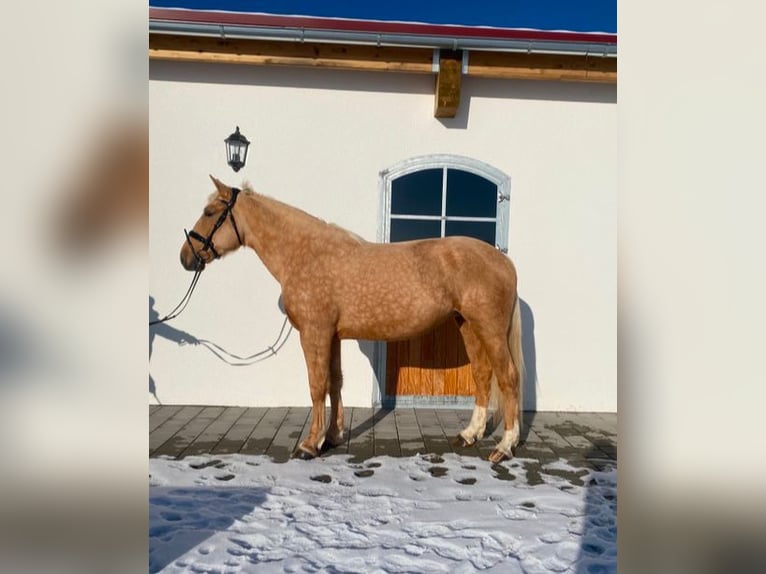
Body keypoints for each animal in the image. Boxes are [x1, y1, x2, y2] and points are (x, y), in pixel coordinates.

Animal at [181, 176, 528, 464]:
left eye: (210, 212)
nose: (186, 256)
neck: (305, 254)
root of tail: (505, 261)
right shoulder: (332, 335)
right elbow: (335, 381)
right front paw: (332, 437)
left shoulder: (314, 333)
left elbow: (317, 385)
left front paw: (309, 444)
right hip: (467, 324)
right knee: (482, 375)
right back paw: (470, 435)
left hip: (489, 328)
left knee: (508, 377)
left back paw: (504, 446)